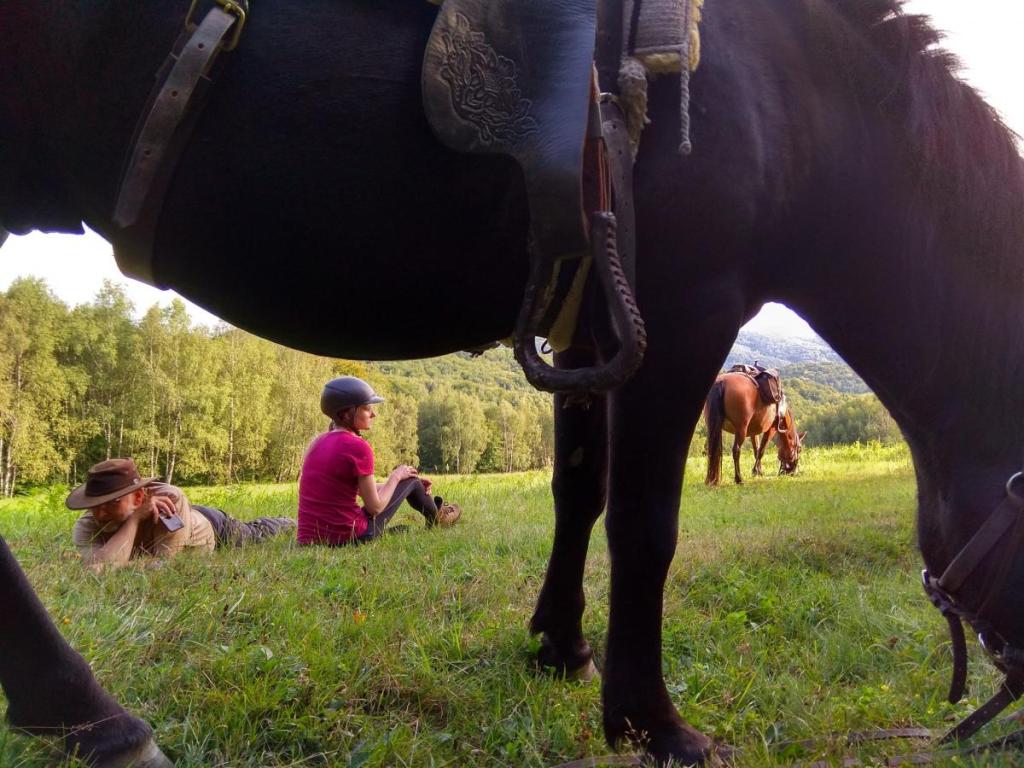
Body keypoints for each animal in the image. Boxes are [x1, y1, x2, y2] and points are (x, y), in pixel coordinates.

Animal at [2, 0, 1024, 765]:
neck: (789, 91)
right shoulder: (681, 313)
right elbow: (645, 524)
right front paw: (653, 723)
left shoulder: (591, 329)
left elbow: (579, 493)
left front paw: (561, 645)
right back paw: (98, 722)